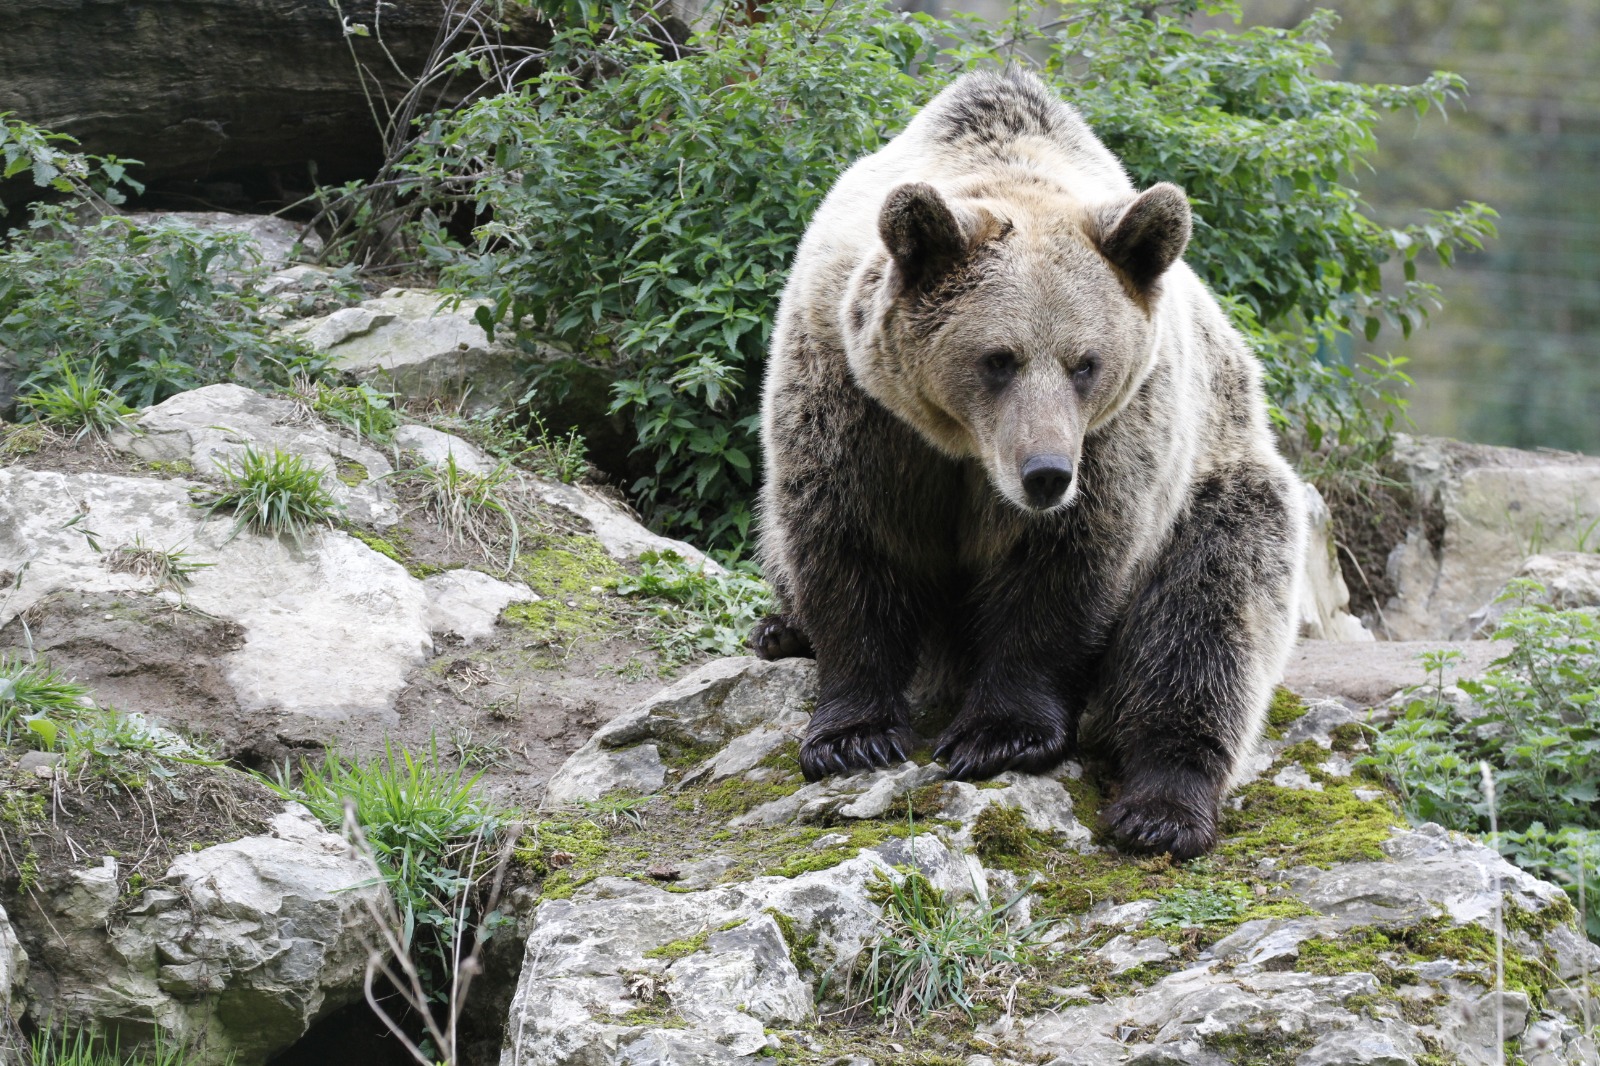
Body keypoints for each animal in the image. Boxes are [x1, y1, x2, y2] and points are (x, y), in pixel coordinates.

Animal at [755, 70, 1305, 857]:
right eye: (998, 358)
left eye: (1086, 363)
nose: (1046, 473)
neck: (964, 450)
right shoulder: (856, 400)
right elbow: (851, 541)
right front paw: (851, 734)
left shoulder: (1118, 438)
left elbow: (1059, 573)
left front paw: (997, 735)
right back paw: (781, 628)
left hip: (1221, 482)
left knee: (1208, 622)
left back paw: (1162, 807)